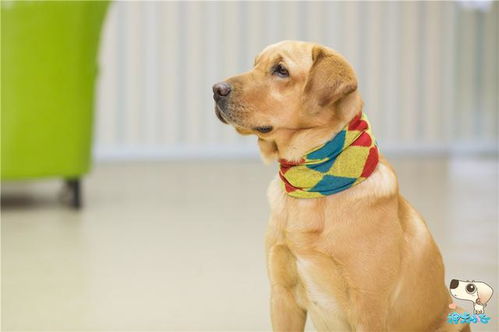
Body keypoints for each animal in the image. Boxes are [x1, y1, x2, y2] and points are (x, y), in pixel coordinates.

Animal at [212, 42, 468, 332]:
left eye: (281, 70)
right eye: (255, 64)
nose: (216, 89)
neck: (313, 186)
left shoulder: (369, 310)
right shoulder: (282, 296)